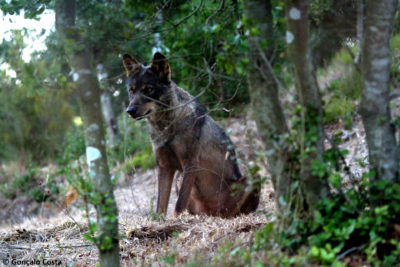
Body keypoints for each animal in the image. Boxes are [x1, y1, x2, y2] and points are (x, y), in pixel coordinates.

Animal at [122, 52, 260, 218]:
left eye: (148, 89)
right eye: (131, 90)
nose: (130, 111)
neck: (166, 126)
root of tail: (211, 212)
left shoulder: (190, 163)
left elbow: (178, 204)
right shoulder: (164, 167)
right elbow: (160, 205)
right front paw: (159, 221)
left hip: (253, 176)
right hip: (179, 178)